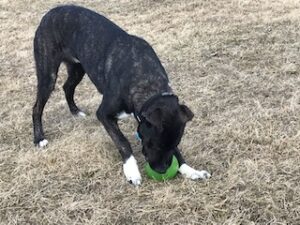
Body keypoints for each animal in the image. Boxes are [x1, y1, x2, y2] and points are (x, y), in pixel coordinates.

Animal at [32, 4, 211, 185]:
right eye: (154, 145)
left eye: (174, 145)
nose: (162, 171)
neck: (146, 80)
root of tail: (51, 11)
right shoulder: (104, 114)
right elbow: (123, 142)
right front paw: (131, 171)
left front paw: (190, 170)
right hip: (48, 75)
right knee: (37, 107)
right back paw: (39, 138)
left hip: (78, 68)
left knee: (67, 87)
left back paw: (75, 111)